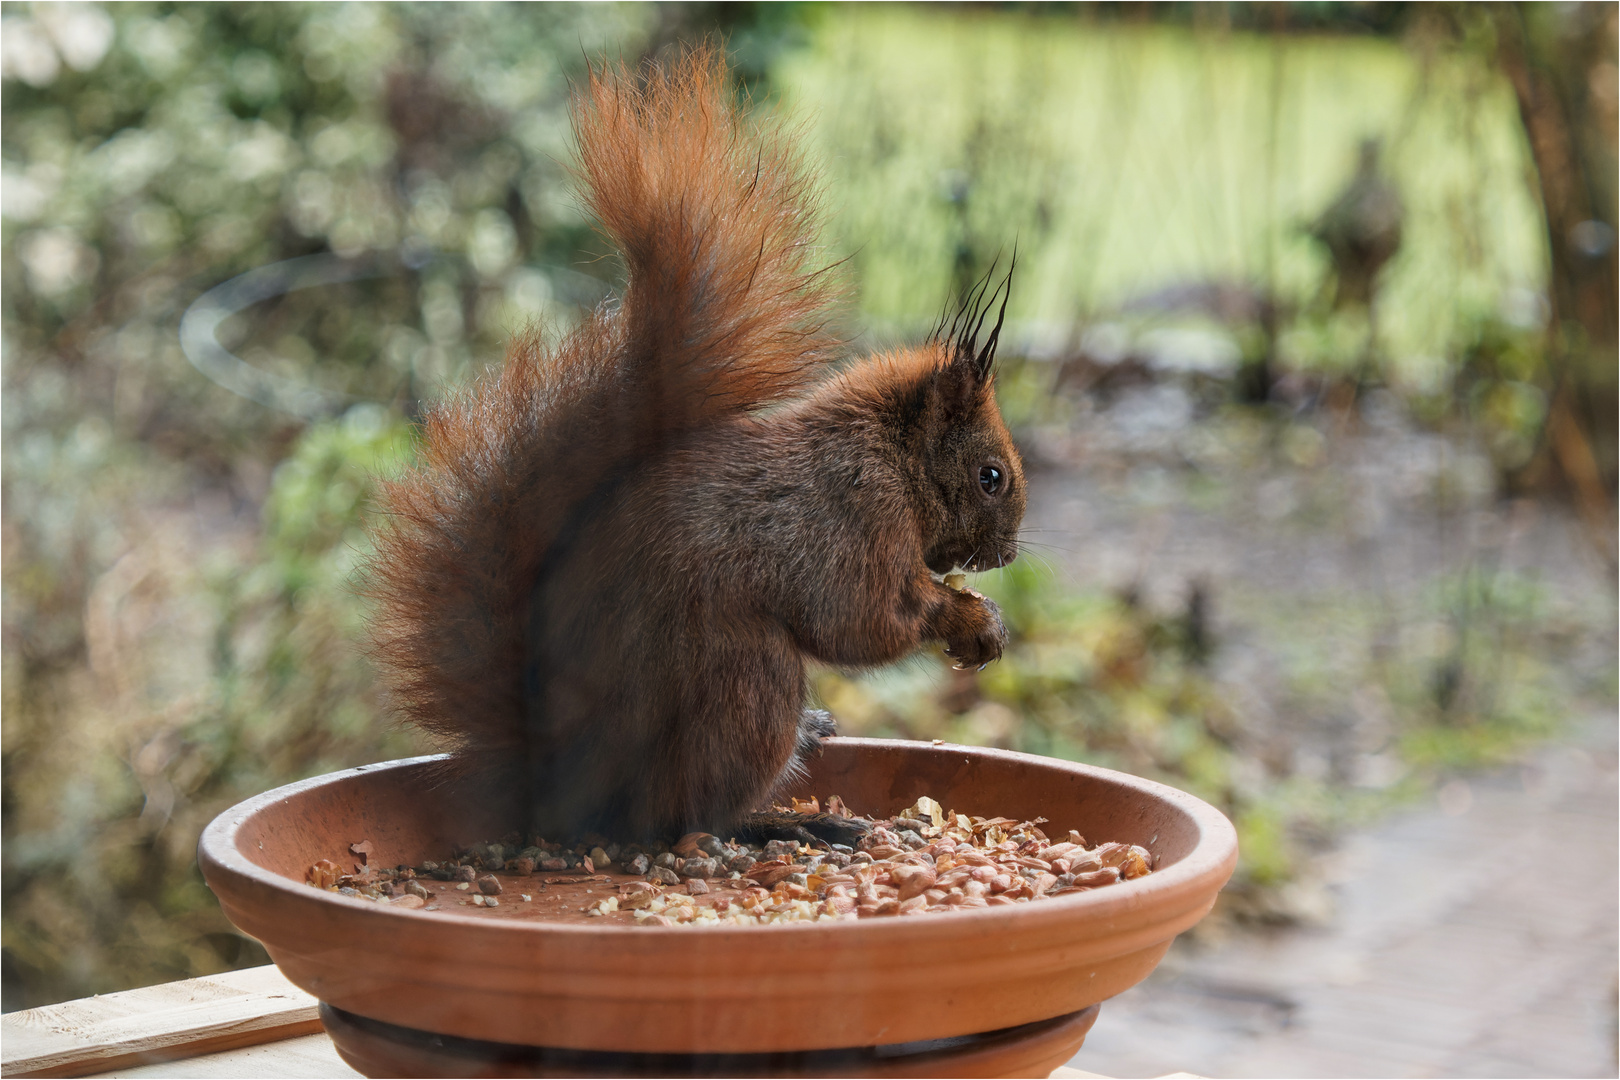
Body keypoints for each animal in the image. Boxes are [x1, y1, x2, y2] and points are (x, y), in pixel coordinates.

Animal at [367, 48, 1023, 841]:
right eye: (991, 476)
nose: (1008, 554)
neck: (890, 457)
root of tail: (560, 788)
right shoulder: (850, 522)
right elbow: (862, 620)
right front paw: (970, 619)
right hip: (747, 683)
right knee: (691, 818)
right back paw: (793, 826)